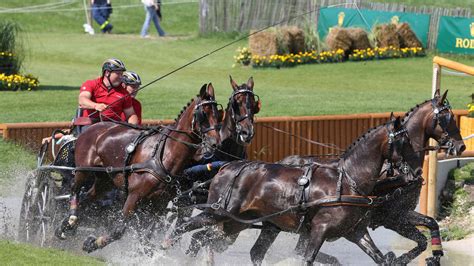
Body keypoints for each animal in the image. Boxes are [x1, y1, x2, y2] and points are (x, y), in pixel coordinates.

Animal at [53, 83, 222, 251]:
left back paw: (66, 224)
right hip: (83, 169)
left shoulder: (158, 205)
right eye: (204, 114)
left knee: (87, 197)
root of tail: (93, 127)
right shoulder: (134, 196)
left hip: (105, 179)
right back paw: (70, 220)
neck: (164, 155)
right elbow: (119, 230)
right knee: (75, 189)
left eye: (217, 114)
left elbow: (146, 238)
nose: (215, 143)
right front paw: (93, 243)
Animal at [162, 117, 414, 264]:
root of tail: (226, 167)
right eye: (403, 142)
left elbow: (380, 258)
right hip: (219, 212)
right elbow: (308, 258)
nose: (412, 172)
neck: (347, 181)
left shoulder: (356, 231)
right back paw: (163, 246)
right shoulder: (320, 229)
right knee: (186, 227)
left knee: (212, 241)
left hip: (235, 224)